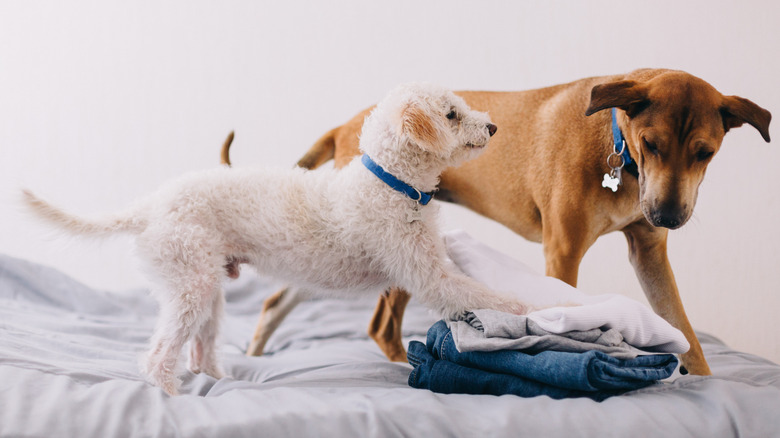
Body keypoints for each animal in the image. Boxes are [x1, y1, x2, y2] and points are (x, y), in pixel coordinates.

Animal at [22, 82, 532, 394]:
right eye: (452, 114)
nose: (493, 127)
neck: (390, 183)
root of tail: (150, 207)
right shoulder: (427, 277)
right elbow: (481, 295)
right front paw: (529, 308)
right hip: (189, 285)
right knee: (158, 354)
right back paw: (170, 392)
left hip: (208, 288)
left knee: (201, 346)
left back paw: (219, 378)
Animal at [236, 69, 768, 376]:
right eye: (651, 143)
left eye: (705, 153)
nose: (669, 216)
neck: (616, 146)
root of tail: (347, 124)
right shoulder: (563, 250)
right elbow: (564, 313)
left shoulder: (649, 251)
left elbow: (682, 327)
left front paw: (702, 380)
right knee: (380, 327)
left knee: (287, 295)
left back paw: (256, 352)